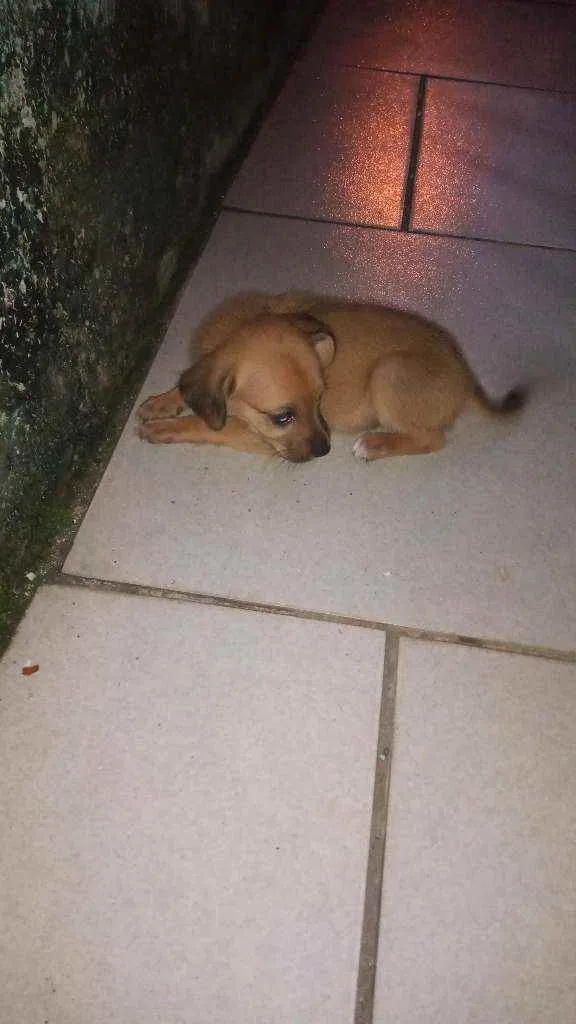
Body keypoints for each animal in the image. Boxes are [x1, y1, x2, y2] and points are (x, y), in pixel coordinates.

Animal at [136, 290, 522, 462]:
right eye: (283, 417)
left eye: (321, 399)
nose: (325, 451)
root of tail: (466, 374)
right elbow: (186, 389)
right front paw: (160, 403)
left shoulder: (257, 438)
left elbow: (205, 425)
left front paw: (163, 429)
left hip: (389, 372)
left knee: (432, 439)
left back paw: (376, 444)